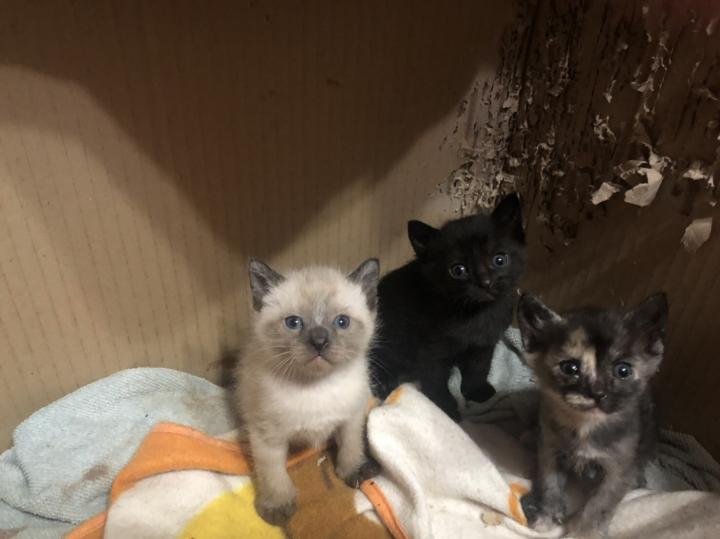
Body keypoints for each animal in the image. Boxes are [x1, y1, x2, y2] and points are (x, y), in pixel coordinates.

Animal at [234, 257, 381, 525]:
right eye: (294, 323)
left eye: (342, 322)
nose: (319, 342)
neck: (316, 386)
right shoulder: (266, 435)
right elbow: (273, 472)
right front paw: (278, 505)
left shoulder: (351, 418)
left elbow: (351, 445)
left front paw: (353, 470)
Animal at [371, 193, 526, 419]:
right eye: (458, 270)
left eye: (499, 259)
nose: (485, 282)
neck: (475, 313)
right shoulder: (431, 350)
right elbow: (435, 378)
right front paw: (445, 406)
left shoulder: (485, 344)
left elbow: (479, 368)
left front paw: (477, 391)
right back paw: (383, 383)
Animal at [517, 292, 668, 537]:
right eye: (570, 368)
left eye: (623, 370)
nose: (597, 394)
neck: (585, 427)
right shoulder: (550, 451)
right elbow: (549, 483)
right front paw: (546, 515)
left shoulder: (619, 469)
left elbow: (601, 504)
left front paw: (584, 532)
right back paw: (531, 434)